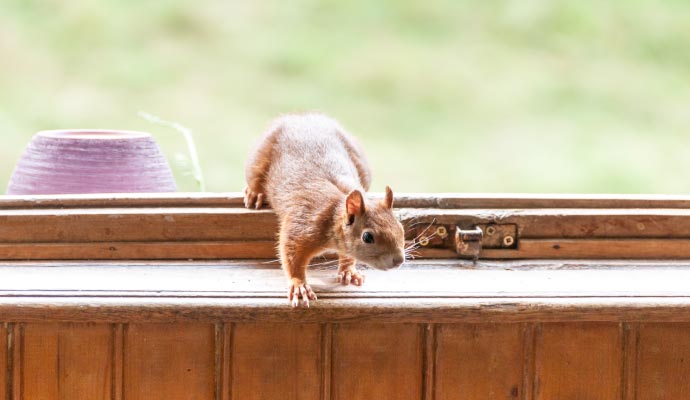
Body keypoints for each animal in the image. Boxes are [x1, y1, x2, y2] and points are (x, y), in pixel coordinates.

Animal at [244, 113, 405, 307]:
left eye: (401, 228)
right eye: (367, 237)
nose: (399, 260)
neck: (334, 211)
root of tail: (301, 118)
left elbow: (347, 255)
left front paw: (348, 271)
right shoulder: (303, 224)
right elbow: (291, 254)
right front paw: (299, 285)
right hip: (258, 159)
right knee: (255, 178)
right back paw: (255, 193)